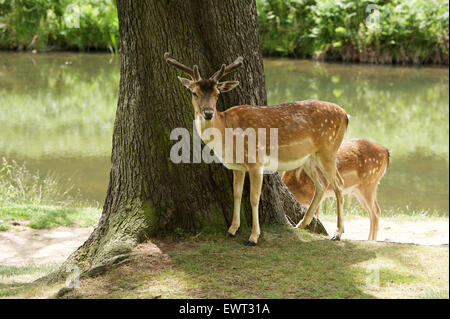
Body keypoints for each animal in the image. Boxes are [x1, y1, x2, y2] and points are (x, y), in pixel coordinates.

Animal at [164, 53, 348, 246]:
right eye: (194, 92)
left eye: (217, 94)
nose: (208, 113)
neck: (227, 132)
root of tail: (346, 115)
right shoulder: (237, 167)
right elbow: (237, 194)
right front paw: (231, 230)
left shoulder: (255, 161)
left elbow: (253, 198)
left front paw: (253, 237)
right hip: (308, 158)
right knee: (322, 184)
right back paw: (301, 225)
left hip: (329, 149)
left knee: (339, 184)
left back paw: (337, 233)